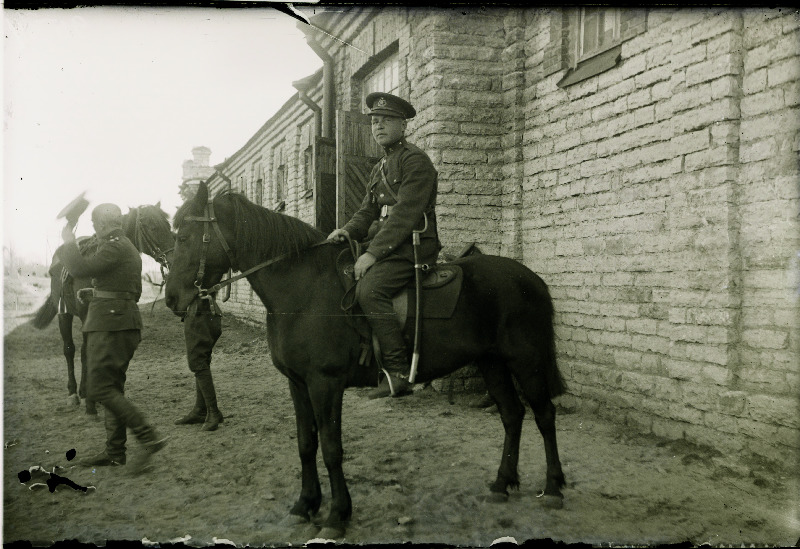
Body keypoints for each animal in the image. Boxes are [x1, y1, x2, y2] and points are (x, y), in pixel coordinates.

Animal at [30, 203, 173, 414]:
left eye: (168, 225)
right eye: (153, 227)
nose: (173, 257)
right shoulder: (85, 315)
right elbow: (84, 352)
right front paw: (87, 397)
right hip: (64, 315)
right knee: (69, 349)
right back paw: (73, 393)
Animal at [164, 182, 564, 536]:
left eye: (184, 238)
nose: (172, 299)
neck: (302, 290)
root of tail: (531, 278)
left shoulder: (325, 384)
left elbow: (331, 448)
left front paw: (337, 515)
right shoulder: (298, 383)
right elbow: (305, 443)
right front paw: (305, 504)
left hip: (526, 361)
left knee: (544, 415)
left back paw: (554, 487)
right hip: (492, 362)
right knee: (512, 415)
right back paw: (502, 483)